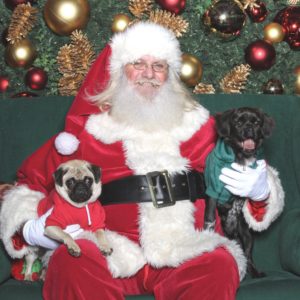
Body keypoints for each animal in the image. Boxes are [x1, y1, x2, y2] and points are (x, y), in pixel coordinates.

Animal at [204, 106, 274, 278]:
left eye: (256, 123)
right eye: (238, 122)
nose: (249, 128)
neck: (241, 157)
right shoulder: (213, 191)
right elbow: (210, 216)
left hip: (247, 237)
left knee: (247, 255)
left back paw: (254, 272)